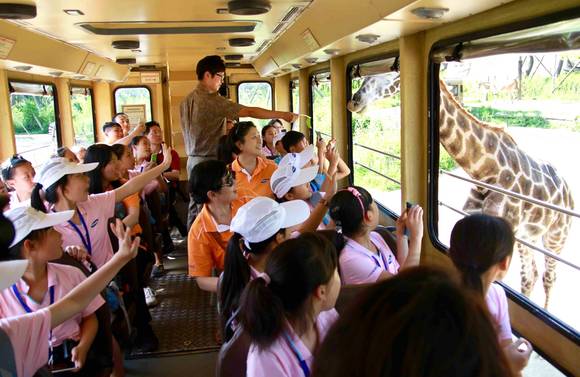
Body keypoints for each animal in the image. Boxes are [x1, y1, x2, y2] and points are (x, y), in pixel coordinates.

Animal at [346, 72, 572, 306]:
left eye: (390, 73)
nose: (354, 101)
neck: (485, 172)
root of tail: (568, 191)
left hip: (555, 237)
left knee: (547, 277)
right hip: (528, 237)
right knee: (531, 275)